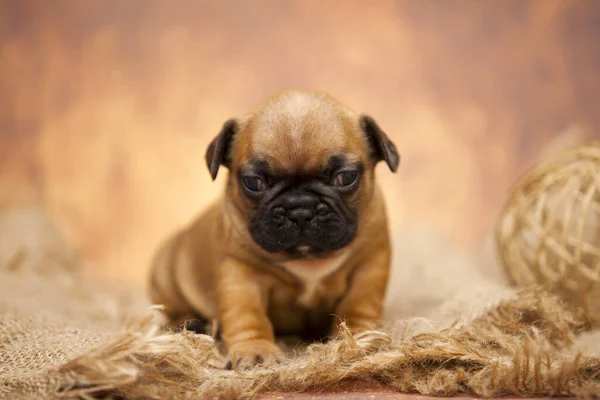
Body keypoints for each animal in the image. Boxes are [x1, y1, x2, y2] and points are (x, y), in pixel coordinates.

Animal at [149, 90, 398, 368]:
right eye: (253, 182)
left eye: (345, 177)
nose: (300, 209)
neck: (308, 259)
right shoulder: (240, 273)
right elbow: (248, 314)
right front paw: (255, 350)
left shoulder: (369, 264)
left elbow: (358, 303)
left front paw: (358, 340)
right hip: (164, 277)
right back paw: (190, 324)